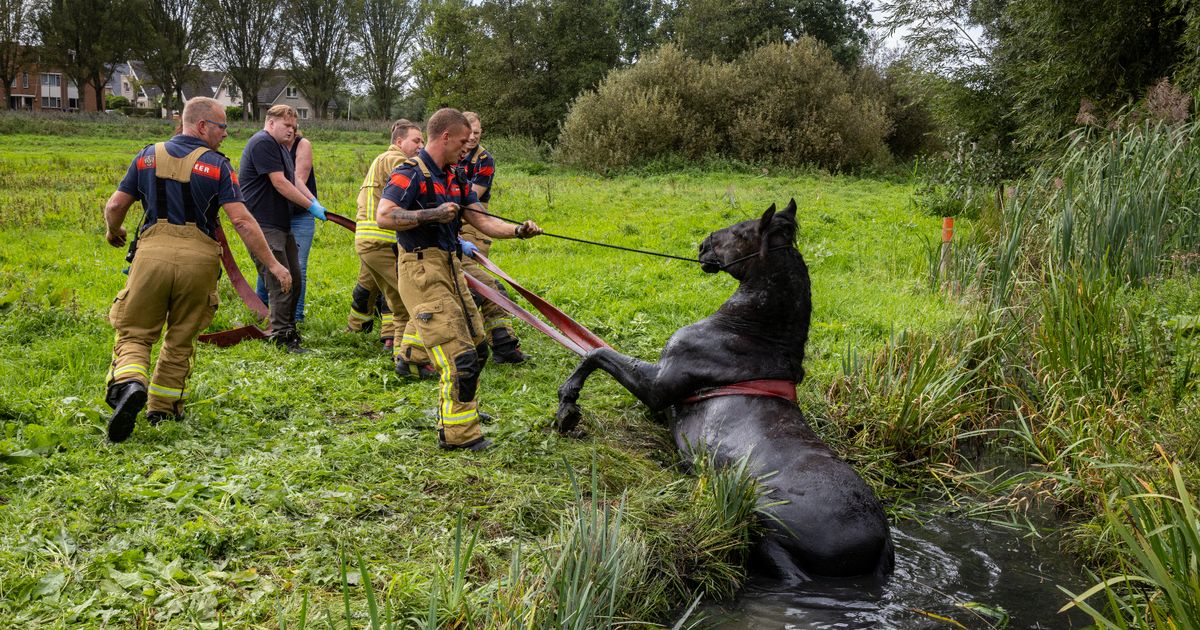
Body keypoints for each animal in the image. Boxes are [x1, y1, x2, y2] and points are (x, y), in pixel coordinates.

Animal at [555, 199, 894, 581]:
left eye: (742, 231)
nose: (703, 246)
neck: (747, 333)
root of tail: (880, 542)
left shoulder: (656, 386)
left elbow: (595, 353)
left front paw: (567, 405)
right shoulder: (663, 401)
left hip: (765, 515)